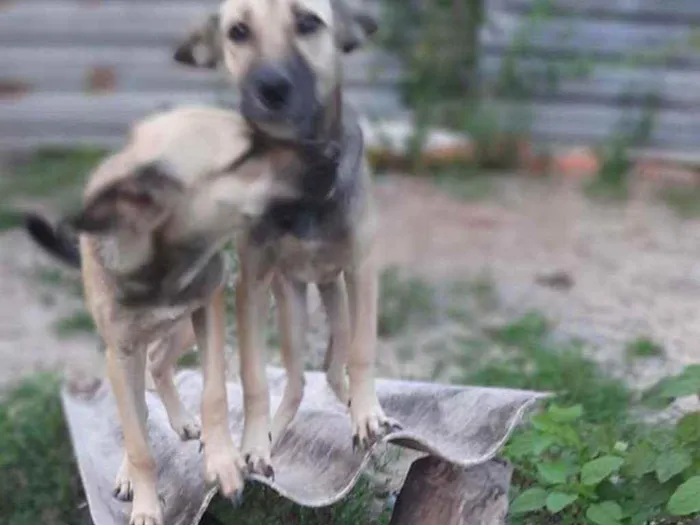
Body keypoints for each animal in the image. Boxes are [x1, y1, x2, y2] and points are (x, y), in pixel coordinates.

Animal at [24, 106, 296, 524]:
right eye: (244, 158)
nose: (328, 156)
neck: (164, 264)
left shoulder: (208, 310)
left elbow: (214, 394)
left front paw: (224, 463)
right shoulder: (120, 353)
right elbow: (138, 440)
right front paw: (146, 504)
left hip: (182, 330)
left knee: (159, 364)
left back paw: (182, 421)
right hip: (130, 354)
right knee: (138, 402)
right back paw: (128, 472)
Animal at [173, 0, 400, 476]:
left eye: (309, 21)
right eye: (238, 31)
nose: (271, 88)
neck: (301, 173)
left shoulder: (362, 269)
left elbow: (363, 350)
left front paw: (367, 414)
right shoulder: (252, 286)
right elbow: (255, 378)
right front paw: (253, 446)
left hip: (339, 305)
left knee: (334, 367)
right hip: (291, 311)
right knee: (296, 381)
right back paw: (274, 432)